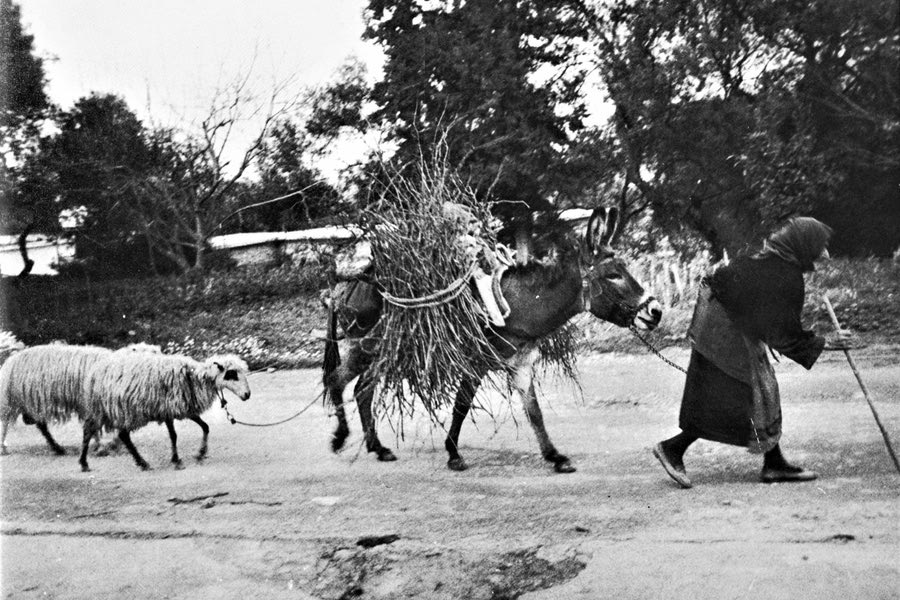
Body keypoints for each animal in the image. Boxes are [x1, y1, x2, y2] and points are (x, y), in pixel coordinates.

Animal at [0, 342, 162, 454]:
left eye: (156, 352)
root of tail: (10, 361)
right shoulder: (91, 405)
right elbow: (96, 428)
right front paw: (101, 447)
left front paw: (111, 444)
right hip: (12, 400)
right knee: (5, 422)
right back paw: (3, 448)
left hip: (33, 401)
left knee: (40, 425)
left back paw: (57, 448)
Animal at [78, 352, 250, 474]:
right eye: (232, 373)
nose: (247, 395)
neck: (194, 378)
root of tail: (94, 372)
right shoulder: (170, 408)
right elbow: (174, 435)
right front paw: (177, 461)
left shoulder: (182, 408)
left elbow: (205, 427)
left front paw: (200, 454)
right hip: (110, 409)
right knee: (91, 431)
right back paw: (85, 463)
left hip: (112, 411)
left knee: (120, 435)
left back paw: (141, 463)